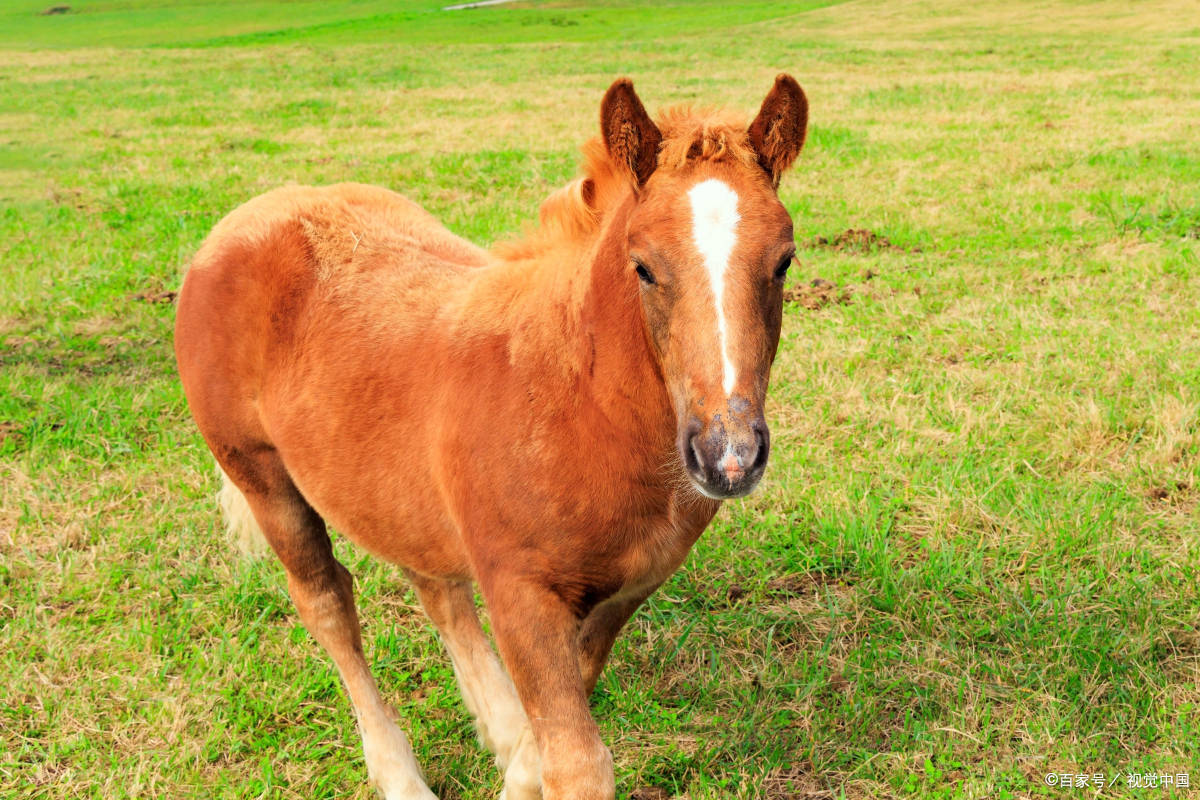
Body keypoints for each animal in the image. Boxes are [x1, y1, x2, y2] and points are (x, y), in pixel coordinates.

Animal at [174, 76, 811, 800]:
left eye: (784, 260)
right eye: (643, 266)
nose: (728, 458)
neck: (578, 405)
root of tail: (244, 218)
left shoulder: (623, 594)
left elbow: (544, 748)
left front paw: (516, 758)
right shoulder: (520, 594)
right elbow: (577, 765)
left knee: (433, 583)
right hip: (261, 475)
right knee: (327, 603)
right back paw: (399, 775)